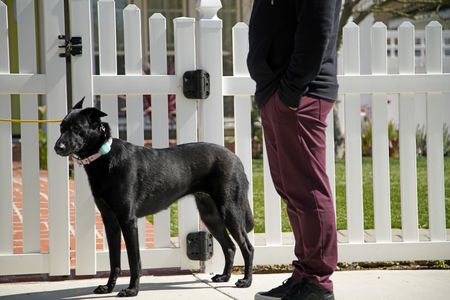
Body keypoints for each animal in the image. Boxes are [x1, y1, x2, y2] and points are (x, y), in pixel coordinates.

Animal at [53, 99, 253, 298]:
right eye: (61, 127)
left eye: (77, 128)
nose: (57, 148)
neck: (104, 155)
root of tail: (236, 158)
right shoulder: (110, 221)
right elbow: (114, 260)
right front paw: (108, 287)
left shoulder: (127, 220)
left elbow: (134, 260)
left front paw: (132, 289)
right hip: (210, 216)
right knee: (230, 247)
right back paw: (225, 277)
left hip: (230, 211)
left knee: (247, 247)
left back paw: (246, 281)